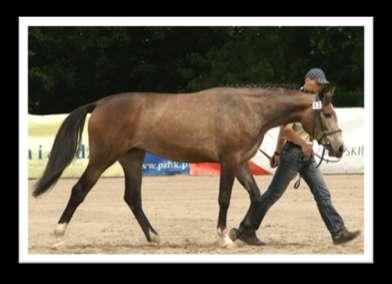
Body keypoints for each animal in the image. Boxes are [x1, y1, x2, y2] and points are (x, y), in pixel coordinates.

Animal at [33, 86, 344, 246]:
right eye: (328, 114)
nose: (339, 148)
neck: (248, 109)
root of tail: (99, 103)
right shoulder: (229, 161)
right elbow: (224, 198)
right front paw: (224, 237)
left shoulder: (240, 163)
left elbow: (257, 196)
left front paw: (244, 233)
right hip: (103, 158)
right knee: (79, 190)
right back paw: (59, 233)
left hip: (132, 157)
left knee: (132, 198)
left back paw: (154, 236)